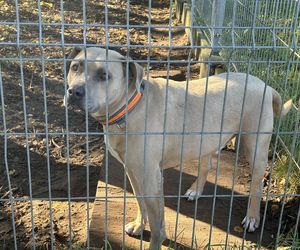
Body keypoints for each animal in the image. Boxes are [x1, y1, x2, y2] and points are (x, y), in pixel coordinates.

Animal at [64, 47, 292, 250]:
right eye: (75, 67)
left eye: (104, 75)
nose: (74, 91)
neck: (130, 107)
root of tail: (265, 85)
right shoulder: (133, 171)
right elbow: (139, 201)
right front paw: (139, 225)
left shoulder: (152, 179)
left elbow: (157, 226)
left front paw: (155, 241)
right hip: (206, 140)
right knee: (206, 165)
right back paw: (196, 190)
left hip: (255, 149)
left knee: (256, 186)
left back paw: (252, 217)